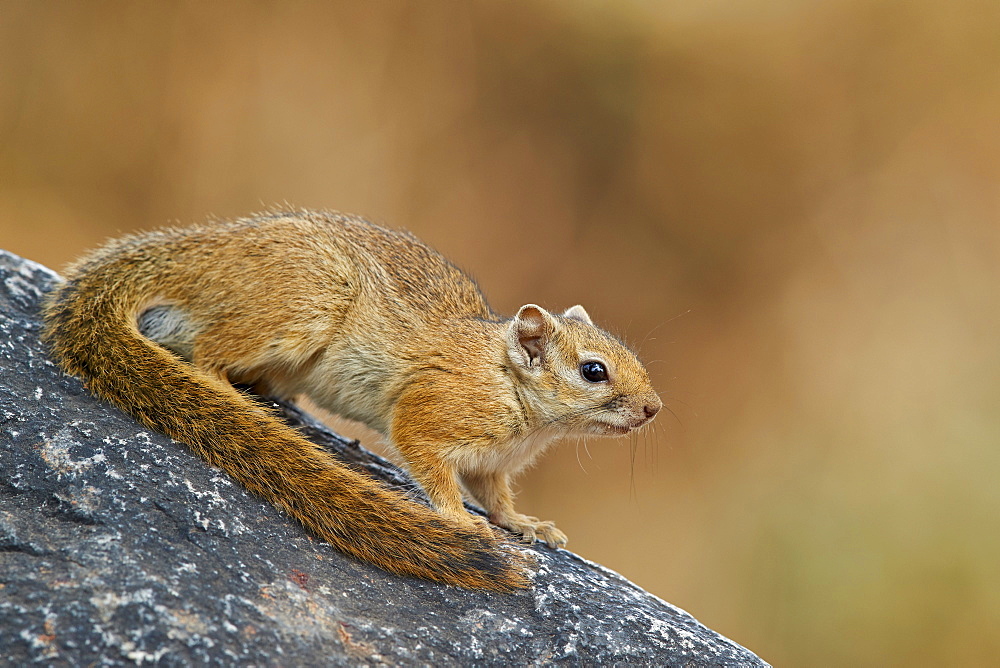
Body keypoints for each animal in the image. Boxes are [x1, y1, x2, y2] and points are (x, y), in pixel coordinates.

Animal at [43, 209, 660, 588]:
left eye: (634, 356)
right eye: (594, 371)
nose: (653, 409)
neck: (511, 389)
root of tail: (203, 252)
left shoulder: (493, 466)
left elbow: (498, 497)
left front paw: (528, 524)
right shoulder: (427, 418)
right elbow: (438, 477)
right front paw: (469, 525)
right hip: (297, 311)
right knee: (206, 351)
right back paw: (230, 395)